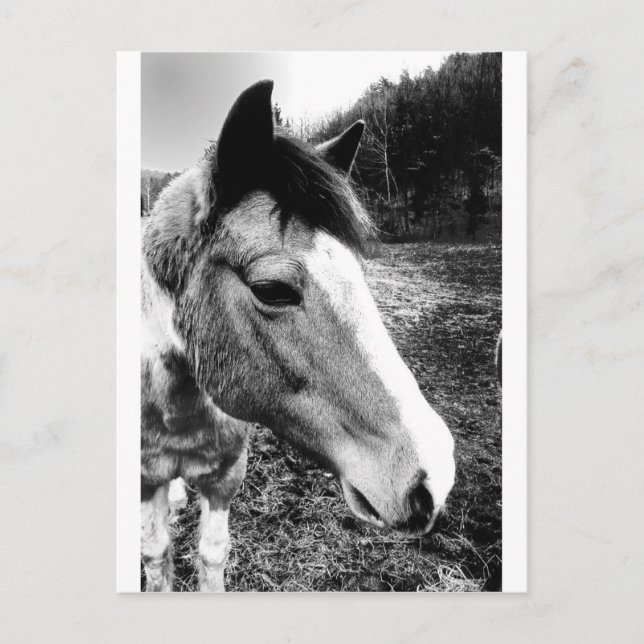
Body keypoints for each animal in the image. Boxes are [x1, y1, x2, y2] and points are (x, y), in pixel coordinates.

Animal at [141, 80, 456, 592]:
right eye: (271, 289)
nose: (436, 476)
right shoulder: (145, 479)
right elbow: (156, 554)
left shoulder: (226, 475)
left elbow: (212, 553)